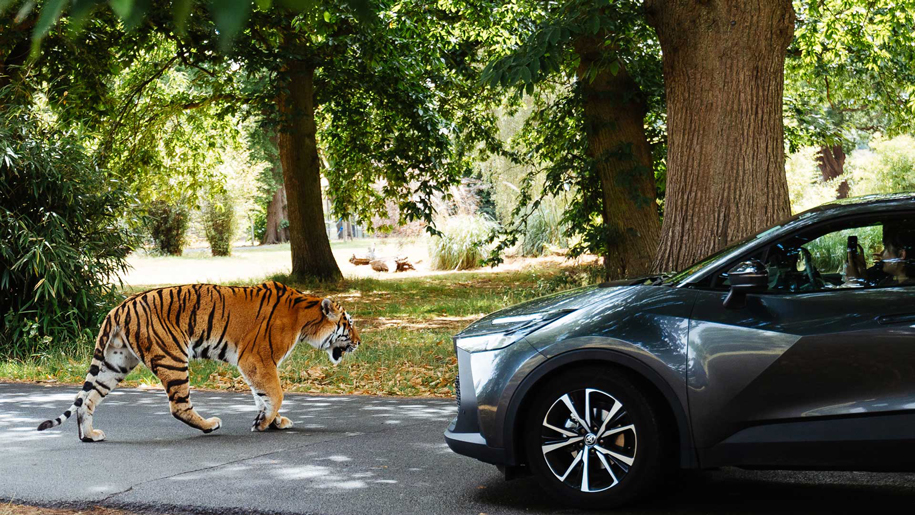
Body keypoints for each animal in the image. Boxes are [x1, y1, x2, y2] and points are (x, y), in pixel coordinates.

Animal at [36, 281, 360, 442]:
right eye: (350, 324)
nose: (359, 342)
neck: (305, 319)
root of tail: (119, 307)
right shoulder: (257, 359)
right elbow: (275, 393)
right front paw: (264, 422)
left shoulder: (257, 365)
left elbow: (263, 396)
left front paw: (272, 421)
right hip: (172, 358)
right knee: (179, 406)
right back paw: (209, 425)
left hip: (115, 363)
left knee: (88, 400)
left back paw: (89, 436)